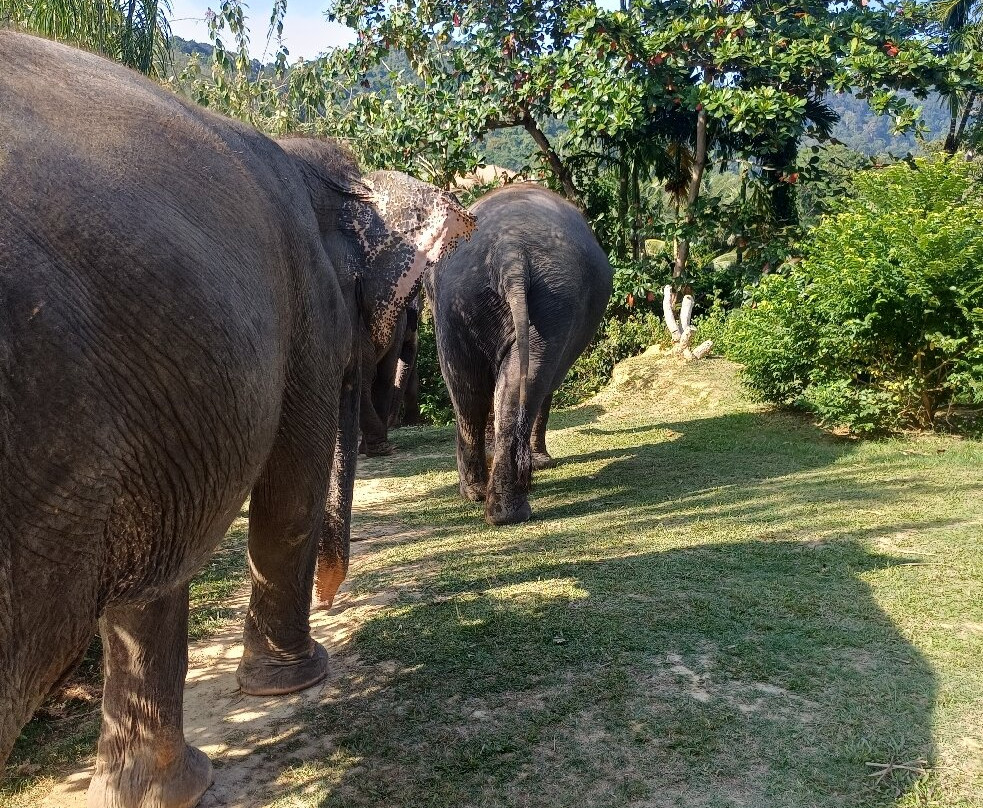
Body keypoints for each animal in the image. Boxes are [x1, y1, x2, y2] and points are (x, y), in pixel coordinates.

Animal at [425, 183, 613, 525]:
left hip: (487, 300)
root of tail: (510, 252)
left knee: (475, 391)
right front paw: (542, 464)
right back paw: (501, 503)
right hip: (547, 302)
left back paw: (489, 503)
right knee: (510, 384)